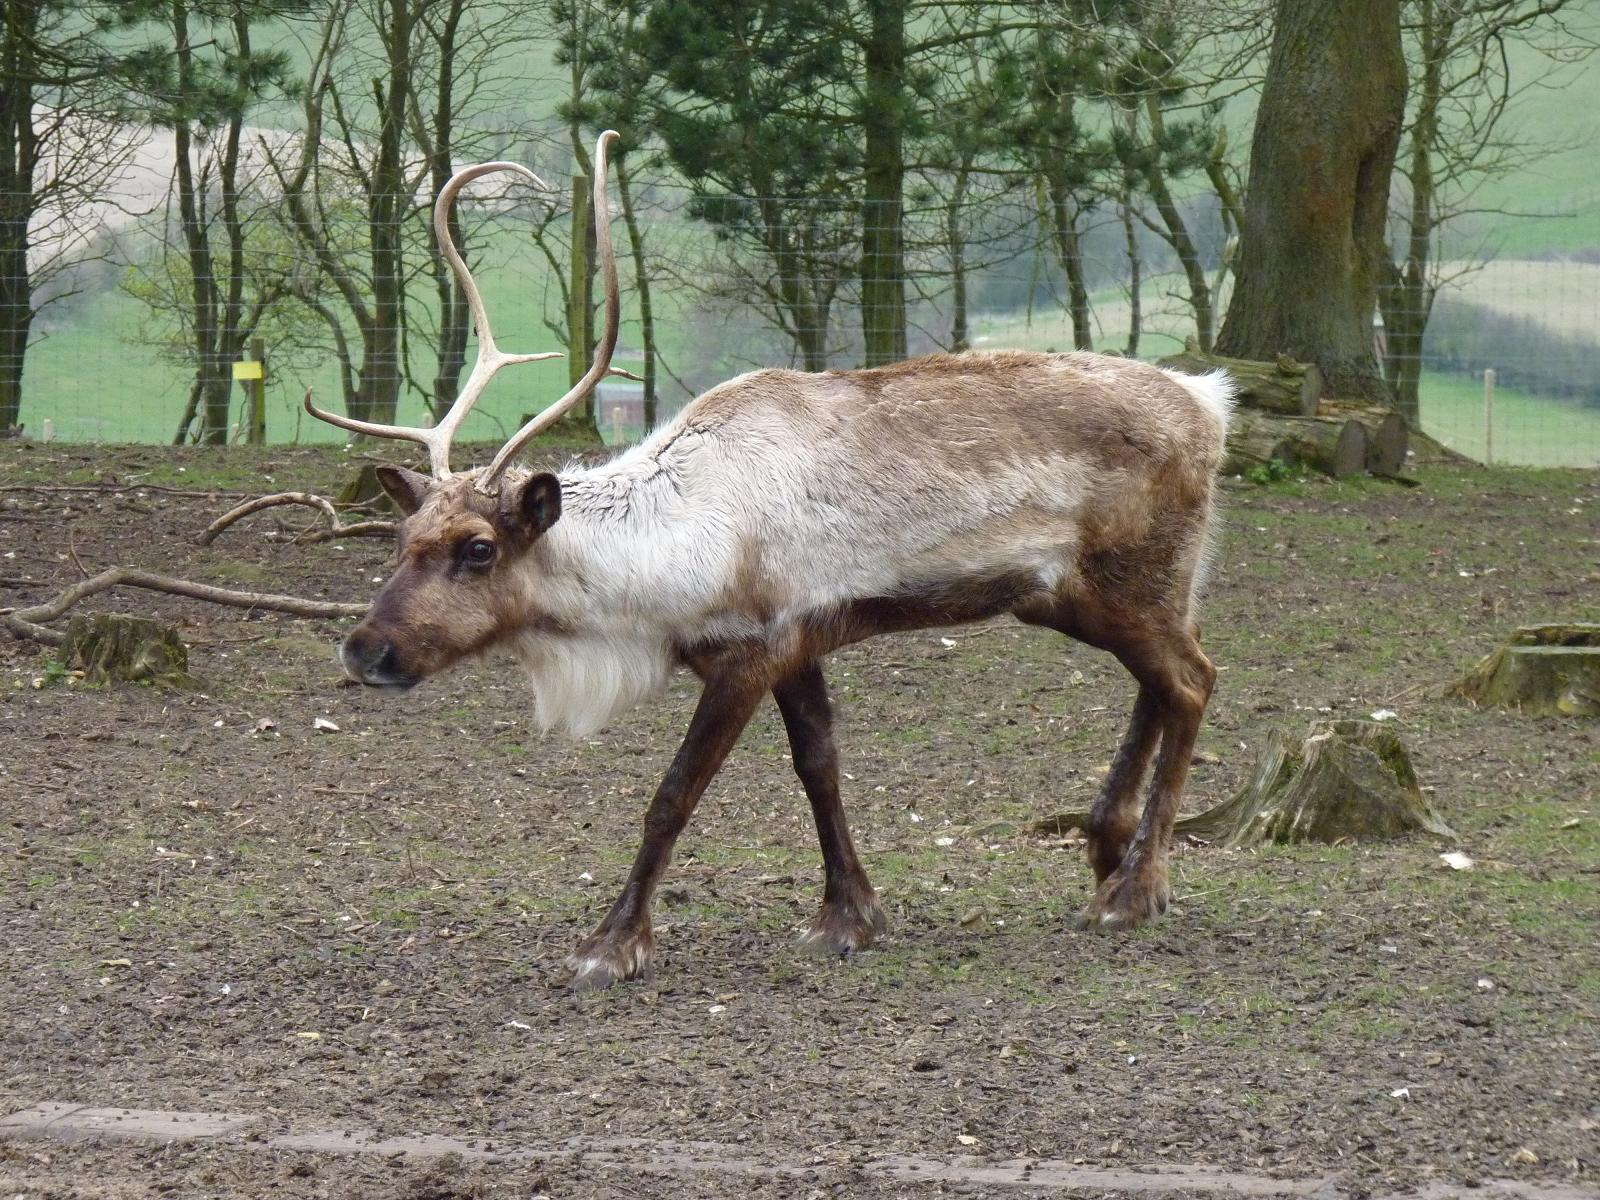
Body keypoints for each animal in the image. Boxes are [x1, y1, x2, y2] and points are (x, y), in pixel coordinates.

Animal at [308, 131, 1234, 991]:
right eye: (403, 539)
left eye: (479, 548)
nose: (365, 649)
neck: (674, 553)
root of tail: (1211, 405)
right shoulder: (800, 643)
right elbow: (819, 767)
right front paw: (850, 916)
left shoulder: (748, 653)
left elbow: (673, 795)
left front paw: (612, 944)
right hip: (1083, 595)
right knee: (1162, 679)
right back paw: (1106, 848)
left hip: (1130, 578)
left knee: (1193, 678)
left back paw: (1132, 890)